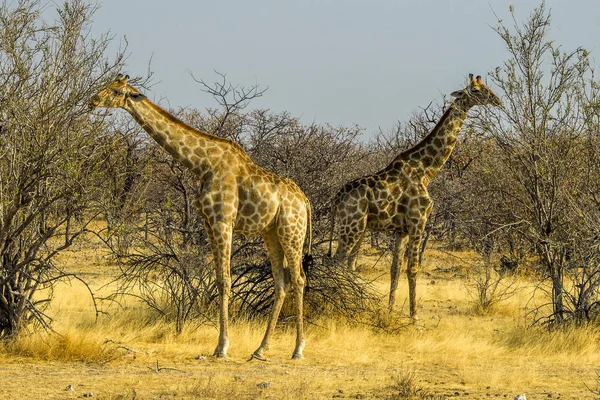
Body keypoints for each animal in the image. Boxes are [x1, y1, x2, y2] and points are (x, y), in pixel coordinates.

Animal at [91, 74, 314, 360]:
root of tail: (305, 201)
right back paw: (260, 349)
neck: (202, 164)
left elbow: (225, 280)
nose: (93, 100)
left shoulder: (223, 220)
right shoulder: (208, 222)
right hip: (271, 233)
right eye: (107, 85)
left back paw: (298, 349)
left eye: (117, 91)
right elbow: (218, 279)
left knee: (299, 279)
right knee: (281, 282)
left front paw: (222, 347)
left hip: (292, 230)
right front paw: (221, 344)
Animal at [328, 74, 502, 318]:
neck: (426, 170)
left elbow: (395, 269)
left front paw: (390, 310)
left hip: (358, 229)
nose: (497, 100)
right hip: (351, 228)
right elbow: (413, 268)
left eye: (485, 86)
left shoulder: (401, 229)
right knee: (336, 263)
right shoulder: (419, 221)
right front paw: (414, 316)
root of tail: (337, 198)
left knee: (345, 264)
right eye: (476, 90)